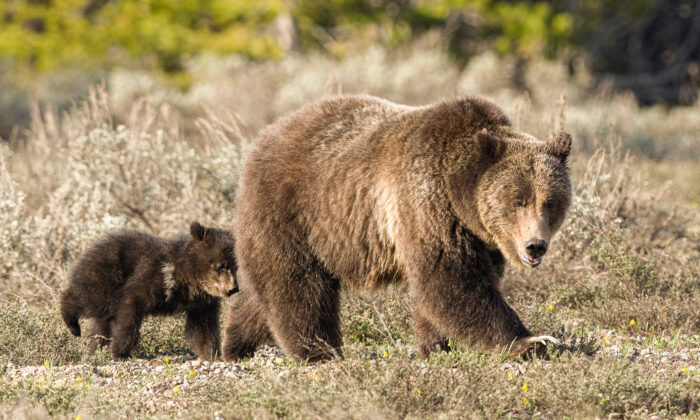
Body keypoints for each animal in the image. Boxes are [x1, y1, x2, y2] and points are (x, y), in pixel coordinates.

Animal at [58, 221, 238, 360]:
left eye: (235, 266)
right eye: (221, 265)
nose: (233, 289)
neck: (187, 278)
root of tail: (93, 246)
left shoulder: (201, 303)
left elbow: (203, 327)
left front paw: (211, 353)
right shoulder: (152, 277)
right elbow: (130, 312)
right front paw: (119, 351)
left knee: (101, 324)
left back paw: (94, 349)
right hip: (108, 277)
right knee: (89, 297)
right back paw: (73, 324)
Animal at [221, 94, 572, 360]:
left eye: (550, 202)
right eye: (518, 201)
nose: (535, 245)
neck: (459, 194)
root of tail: (262, 138)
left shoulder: (479, 237)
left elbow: (452, 287)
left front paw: (436, 345)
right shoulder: (426, 203)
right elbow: (453, 281)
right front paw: (533, 341)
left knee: (265, 291)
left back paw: (235, 344)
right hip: (294, 209)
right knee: (297, 284)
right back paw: (318, 351)